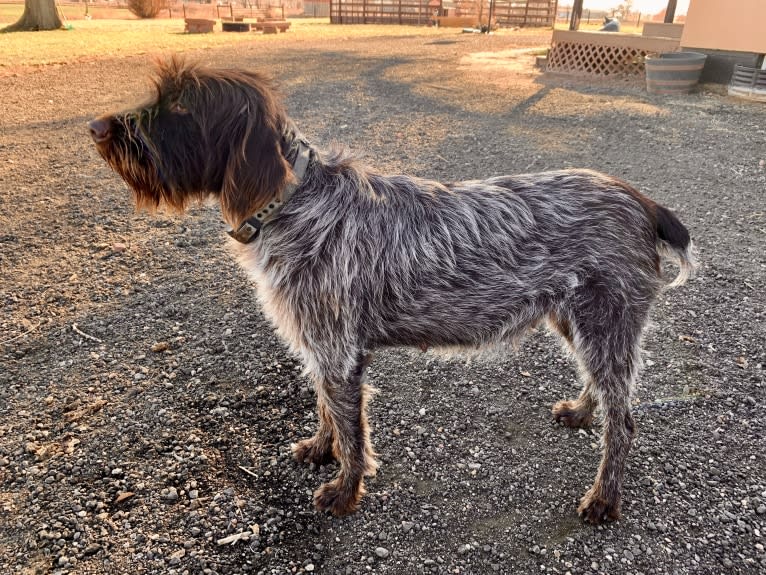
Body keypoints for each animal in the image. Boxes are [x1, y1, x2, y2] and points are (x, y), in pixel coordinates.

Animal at [88, 59, 696, 528]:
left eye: (180, 108)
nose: (96, 127)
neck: (294, 202)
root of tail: (642, 201)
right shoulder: (323, 348)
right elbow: (327, 410)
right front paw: (320, 449)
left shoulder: (338, 352)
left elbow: (352, 429)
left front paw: (345, 489)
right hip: (577, 321)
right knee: (602, 392)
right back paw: (582, 412)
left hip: (605, 322)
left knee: (624, 422)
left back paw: (605, 499)